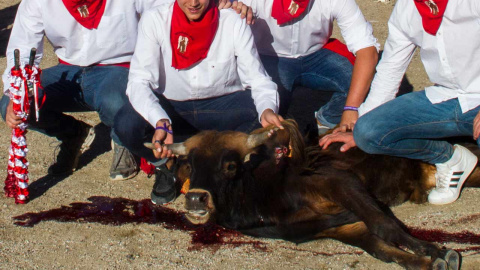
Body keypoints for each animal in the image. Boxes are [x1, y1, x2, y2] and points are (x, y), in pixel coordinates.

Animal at [150, 121, 480, 270]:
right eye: (191, 164)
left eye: (230, 165)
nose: (195, 199)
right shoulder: (339, 227)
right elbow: (380, 248)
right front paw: (428, 261)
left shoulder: (340, 182)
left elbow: (384, 225)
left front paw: (436, 251)